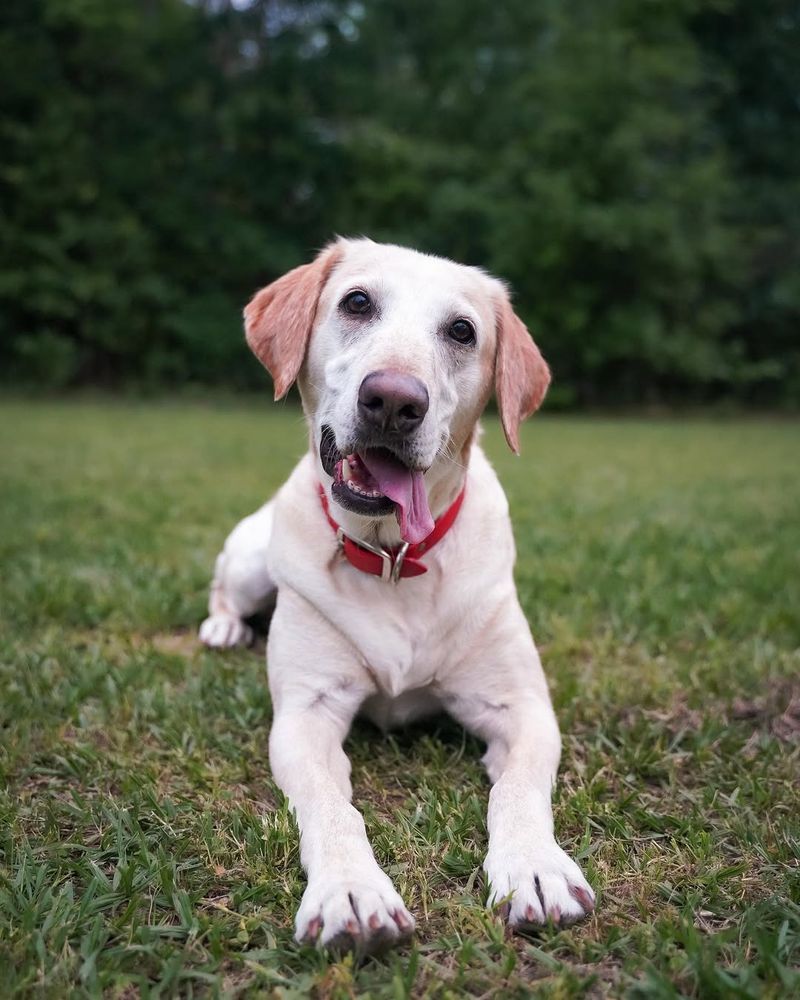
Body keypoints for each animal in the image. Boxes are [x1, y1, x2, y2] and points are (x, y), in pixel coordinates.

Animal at [200, 236, 596, 952]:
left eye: (462, 331)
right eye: (357, 302)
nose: (392, 400)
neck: (392, 557)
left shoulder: (522, 709)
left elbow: (517, 791)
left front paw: (535, 867)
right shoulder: (304, 715)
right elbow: (332, 808)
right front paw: (350, 891)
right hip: (248, 559)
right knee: (225, 589)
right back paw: (223, 627)